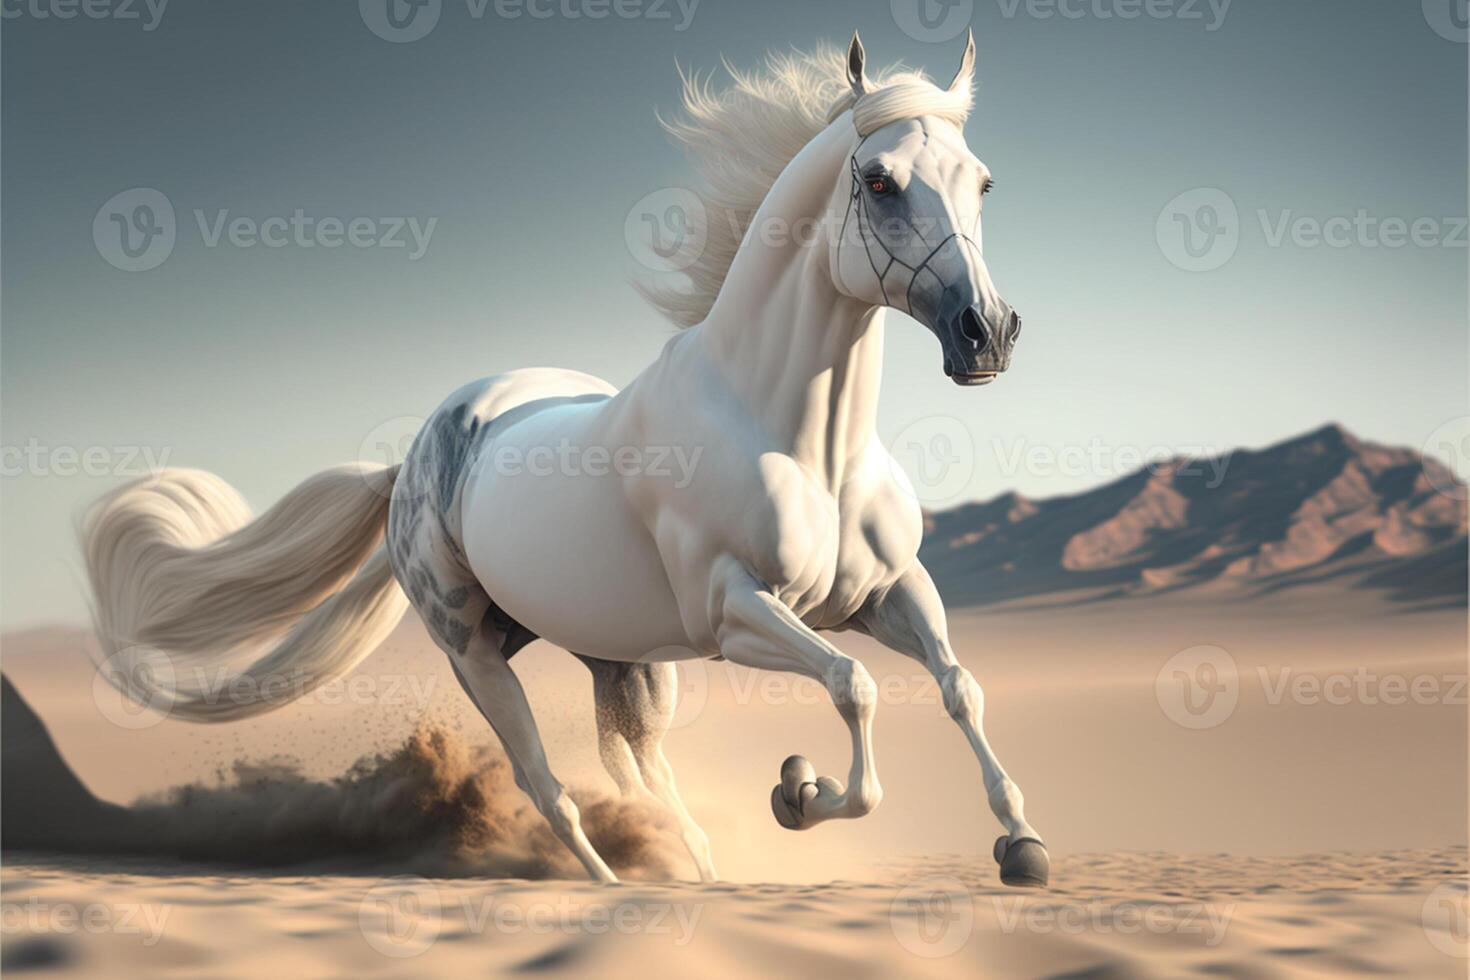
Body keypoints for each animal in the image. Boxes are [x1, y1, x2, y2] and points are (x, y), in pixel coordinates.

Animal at [83, 32, 1046, 887]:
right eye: (880, 182)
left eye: (983, 181)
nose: (987, 333)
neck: (800, 443)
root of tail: (411, 464)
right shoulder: (737, 612)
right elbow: (855, 687)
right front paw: (799, 795)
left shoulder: (889, 591)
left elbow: (958, 686)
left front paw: (1022, 845)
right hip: (475, 652)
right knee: (549, 784)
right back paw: (615, 884)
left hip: (617, 655)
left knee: (639, 767)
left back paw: (701, 870)